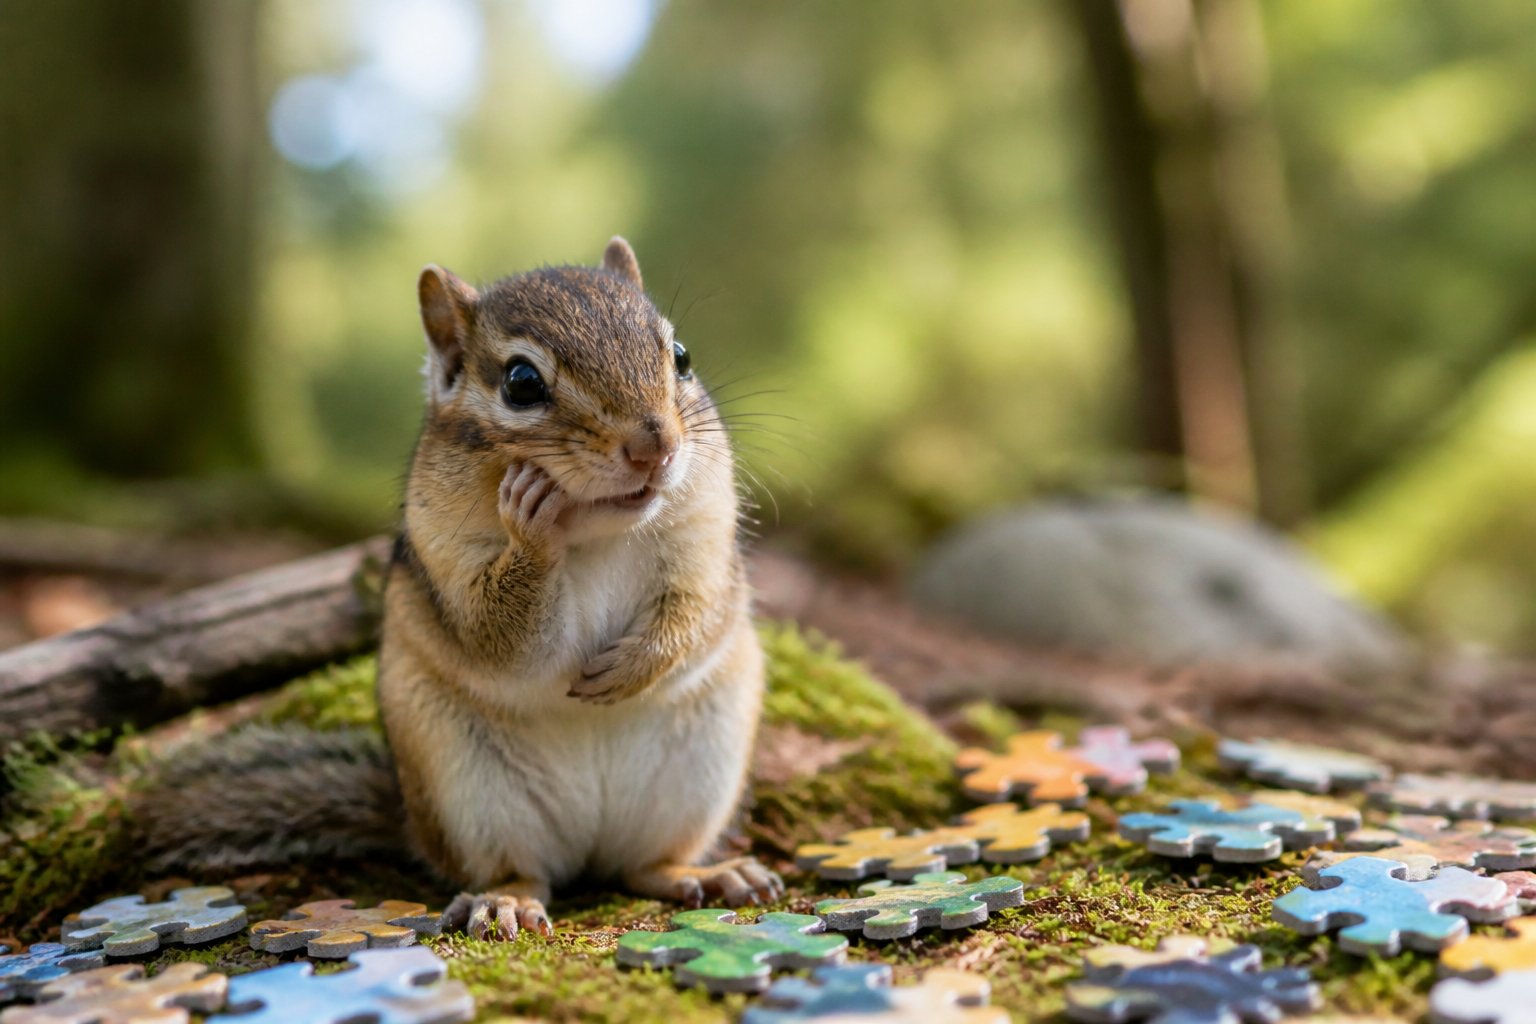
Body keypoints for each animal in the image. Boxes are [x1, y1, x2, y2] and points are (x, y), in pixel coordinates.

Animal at [137, 238, 781, 940]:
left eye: (681, 356)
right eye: (522, 383)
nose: (654, 446)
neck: (599, 533)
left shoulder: (702, 533)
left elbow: (696, 607)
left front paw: (633, 666)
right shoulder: (449, 558)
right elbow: (499, 634)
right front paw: (530, 527)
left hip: (700, 766)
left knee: (642, 866)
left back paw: (706, 874)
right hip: (467, 789)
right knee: (521, 871)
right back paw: (506, 900)